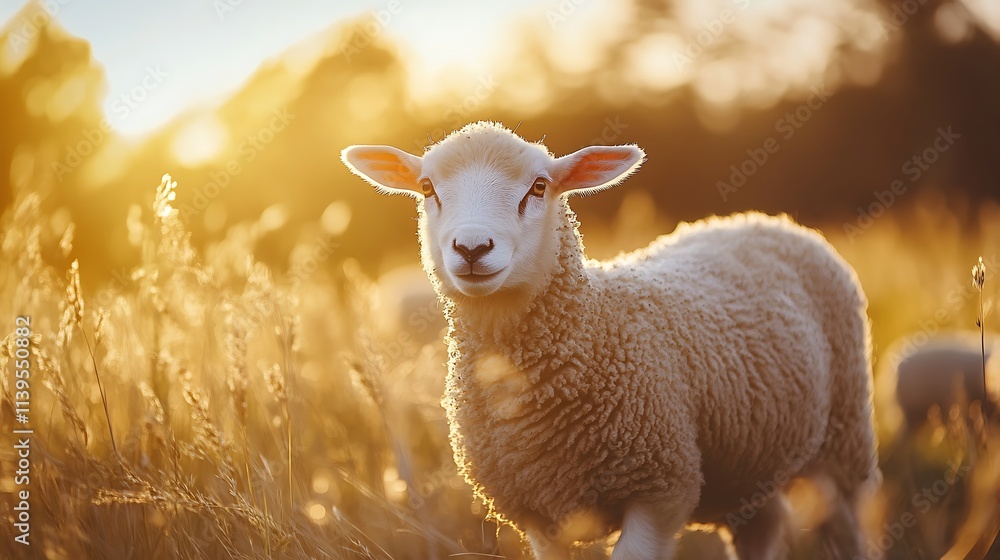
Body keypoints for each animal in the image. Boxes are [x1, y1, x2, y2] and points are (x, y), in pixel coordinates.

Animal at [340, 121, 878, 560]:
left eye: (539, 186)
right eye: (427, 187)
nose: (472, 248)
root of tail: (760, 219)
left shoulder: (661, 488)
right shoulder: (538, 513)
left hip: (844, 441)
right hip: (751, 468)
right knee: (763, 531)